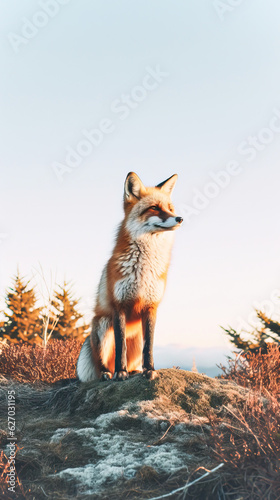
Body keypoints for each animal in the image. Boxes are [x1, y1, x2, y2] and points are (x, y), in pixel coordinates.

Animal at [76, 173, 183, 382]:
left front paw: (149, 369)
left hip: (136, 337)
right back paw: (108, 373)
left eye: (170, 208)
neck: (143, 268)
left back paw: (135, 370)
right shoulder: (119, 305)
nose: (180, 218)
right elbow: (120, 347)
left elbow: (149, 347)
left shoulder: (151, 306)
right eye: (154, 208)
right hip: (102, 325)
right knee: (102, 363)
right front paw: (121, 372)